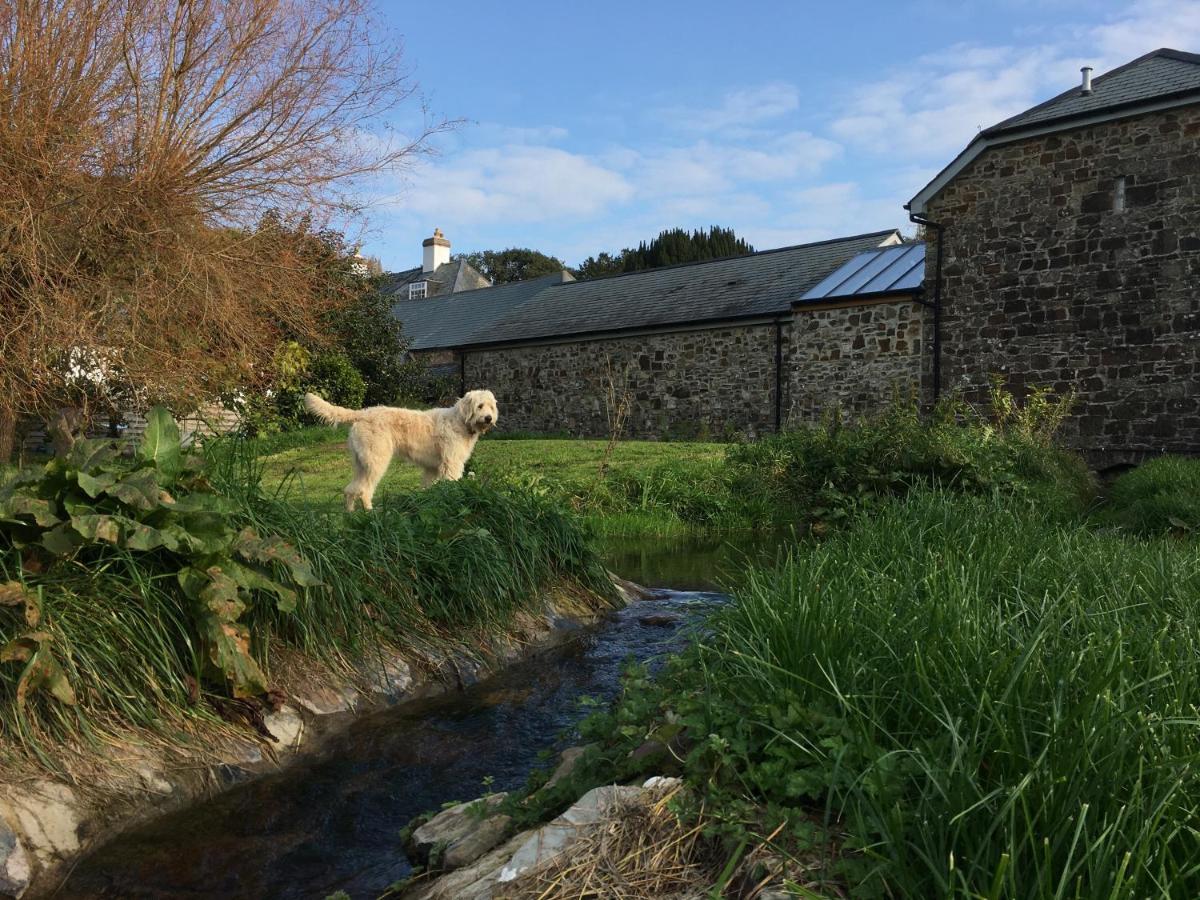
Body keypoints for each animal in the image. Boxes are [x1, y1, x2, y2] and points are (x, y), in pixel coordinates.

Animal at [309, 388, 501, 511]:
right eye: (479, 406)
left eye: (491, 406)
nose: (489, 418)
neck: (460, 421)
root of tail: (362, 413)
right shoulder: (451, 464)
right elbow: (451, 483)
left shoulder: (432, 468)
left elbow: (429, 487)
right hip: (376, 462)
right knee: (364, 490)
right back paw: (370, 513)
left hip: (360, 464)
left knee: (351, 489)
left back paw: (350, 514)